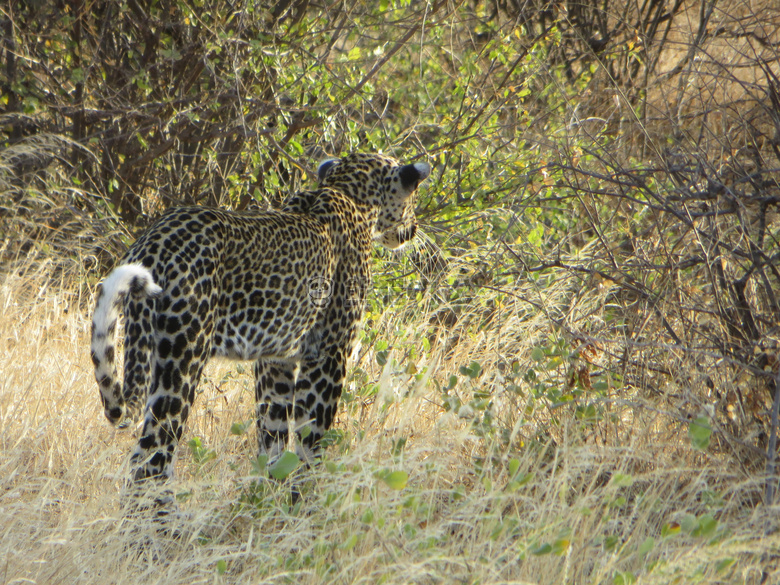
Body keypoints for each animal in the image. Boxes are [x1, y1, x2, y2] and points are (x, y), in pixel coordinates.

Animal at [93, 151, 432, 502]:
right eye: (414, 196)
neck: (350, 192)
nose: (414, 228)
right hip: (182, 358)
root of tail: (151, 241)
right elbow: (311, 438)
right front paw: (306, 499)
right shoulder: (328, 355)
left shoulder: (275, 360)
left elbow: (274, 435)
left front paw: (271, 497)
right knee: (151, 459)